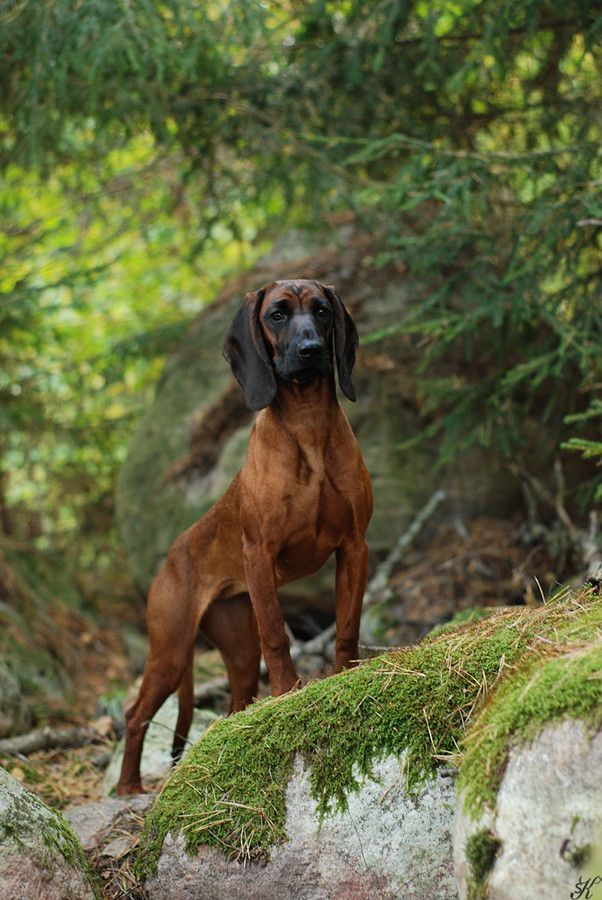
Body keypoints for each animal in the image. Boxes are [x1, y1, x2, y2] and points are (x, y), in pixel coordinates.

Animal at [116, 280, 370, 796]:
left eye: (322, 311)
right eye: (277, 315)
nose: (311, 349)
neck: (308, 429)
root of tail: (171, 555)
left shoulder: (354, 547)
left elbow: (347, 626)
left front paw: (346, 677)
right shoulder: (260, 559)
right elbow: (277, 635)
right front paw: (289, 694)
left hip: (236, 648)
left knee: (234, 703)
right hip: (171, 652)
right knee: (135, 715)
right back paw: (128, 787)